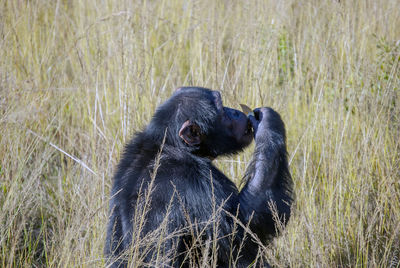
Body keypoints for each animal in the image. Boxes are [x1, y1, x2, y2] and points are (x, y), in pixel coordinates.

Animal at [104, 87, 294, 266]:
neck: (172, 145)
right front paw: (267, 122)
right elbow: (242, 227)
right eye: (221, 110)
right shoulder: (197, 183)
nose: (234, 111)